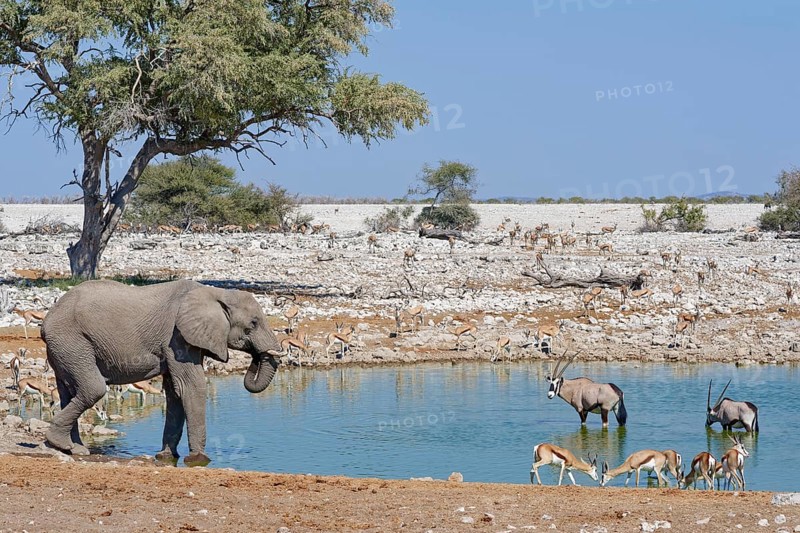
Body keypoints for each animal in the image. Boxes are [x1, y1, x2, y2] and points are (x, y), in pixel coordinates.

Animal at [41, 279, 283, 466]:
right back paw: (62, 443)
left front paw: (167, 457)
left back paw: (73, 449)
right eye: (253, 323)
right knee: (93, 388)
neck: (215, 293)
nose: (256, 356)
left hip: (64, 348)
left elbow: (175, 391)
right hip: (71, 341)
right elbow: (191, 386)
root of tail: (46, 321)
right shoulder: (177, 338)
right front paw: (199, 460)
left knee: (69, 392)